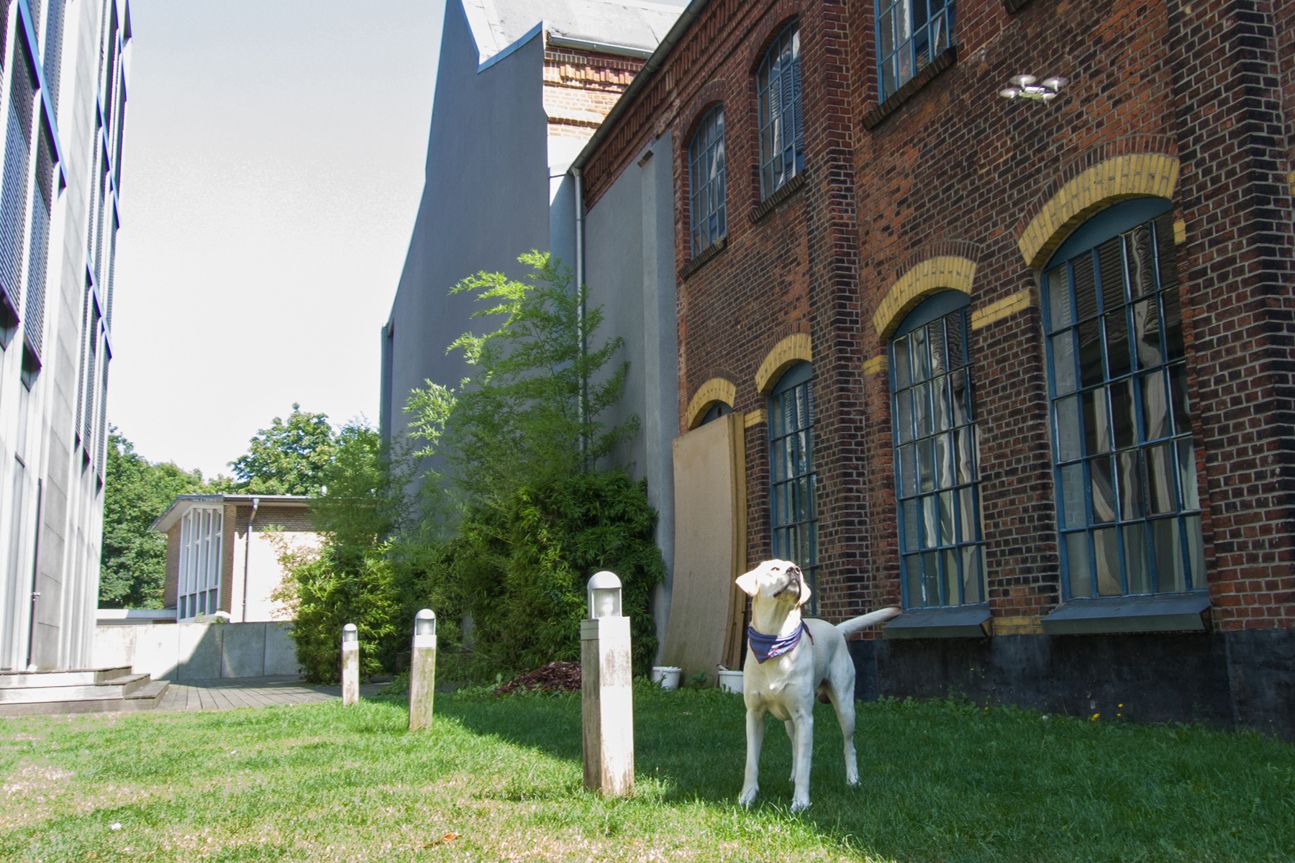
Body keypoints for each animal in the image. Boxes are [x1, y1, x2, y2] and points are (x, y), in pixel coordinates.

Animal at [735, 554, 896, 808]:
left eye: (797, 568)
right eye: (774, 568)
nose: (795, 570)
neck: (775, 640)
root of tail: (837, 629)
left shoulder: (804, 717)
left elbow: (805, 764)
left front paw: (800, 803)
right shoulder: (754, 714)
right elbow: (751, 762)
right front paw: (747, 797)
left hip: (845, 706)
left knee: (849, 744)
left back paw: (852, 780)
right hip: (789, 718)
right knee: (794, 745)